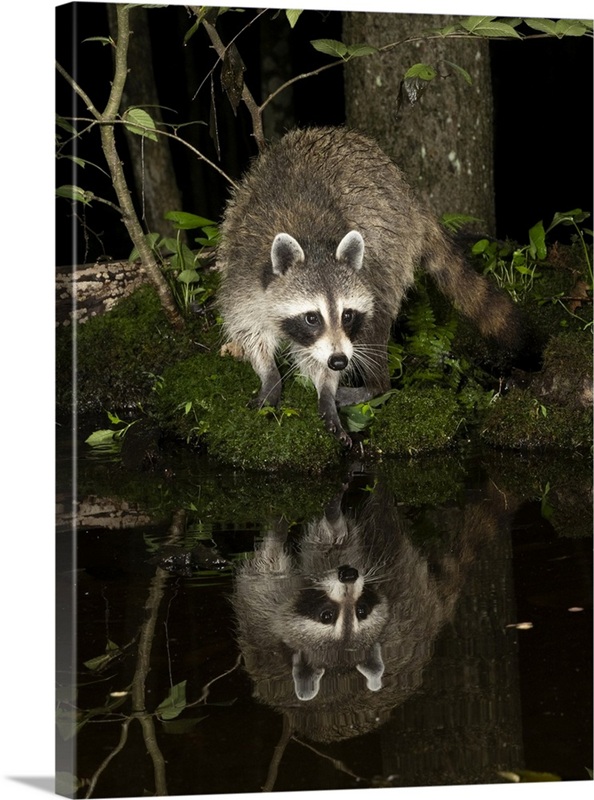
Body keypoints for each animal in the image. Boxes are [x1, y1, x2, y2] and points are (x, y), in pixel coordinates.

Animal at [217, 126, 522, 445]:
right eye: (312, 317)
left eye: (347, 315)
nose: (339, 362)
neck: (313, 243)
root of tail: (408, 191)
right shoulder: (243, 273)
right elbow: (249, 329)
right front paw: (269, 373)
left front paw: (326, 387)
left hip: (392, 247)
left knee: (377, 319)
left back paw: (377, 385)